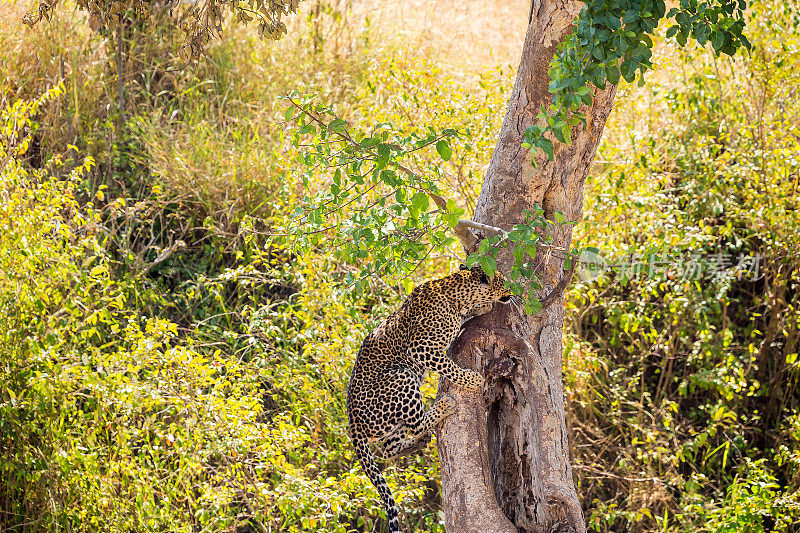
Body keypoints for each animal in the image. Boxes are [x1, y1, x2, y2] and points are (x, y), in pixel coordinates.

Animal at [348, 262, 512, 532]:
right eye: (504, 282)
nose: (511, 292)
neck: (455, 294)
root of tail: (352, 423)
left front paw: (482, 307)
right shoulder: (421, 348)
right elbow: (448, 366)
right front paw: (471, 379)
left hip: (391, 421)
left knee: (390, 447)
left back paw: (418, 443)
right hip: (402, 377)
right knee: (415, 424)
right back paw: (444, 406)